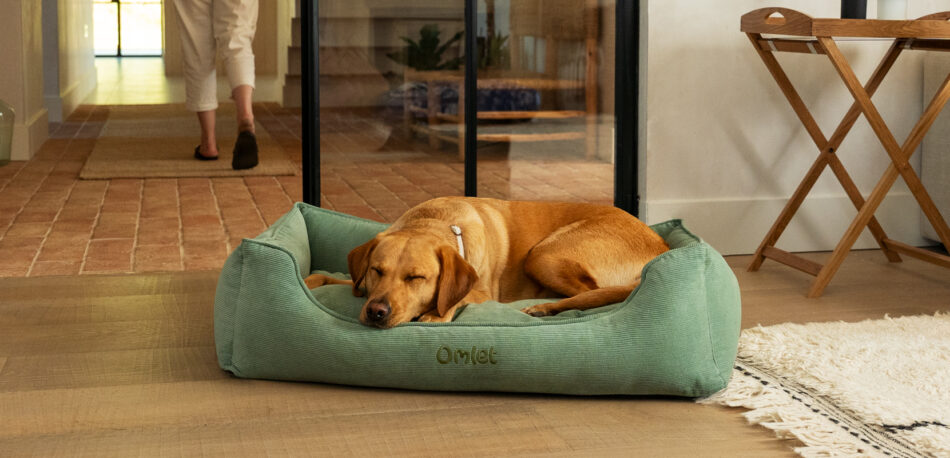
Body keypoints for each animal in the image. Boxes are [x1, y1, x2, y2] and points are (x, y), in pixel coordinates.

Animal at [304, 195, 668, 328]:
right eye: (377, 271)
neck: (435, 221)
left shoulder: (481, 292)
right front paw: (304, 281)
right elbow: (326, 277)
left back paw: (542, 307)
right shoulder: (359, 282)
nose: (376, 312)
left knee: (591, 294)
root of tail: (660, 244)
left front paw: (436, 314)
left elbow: (454, 298)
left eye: (416, 278)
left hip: (543, 255)